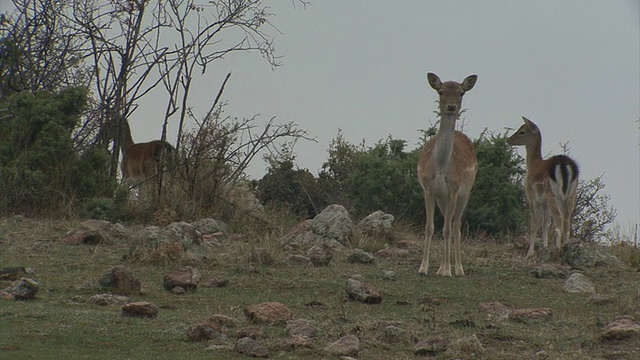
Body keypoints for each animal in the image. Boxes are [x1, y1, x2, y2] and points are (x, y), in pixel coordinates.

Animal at [418, 72, 478, 276]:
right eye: (441, 91)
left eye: (461, 92)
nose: (451, 107)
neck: (441, 167)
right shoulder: (428, 189)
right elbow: (430, 227)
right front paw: (424, 268)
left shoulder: (454, 189)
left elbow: (447, 230)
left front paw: (447, 270)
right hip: (442, 199)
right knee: (448, 222)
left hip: (465, 194)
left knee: (456, 225)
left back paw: (458, 269)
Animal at [510, 116, 580, 258]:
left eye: (522, 131)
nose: (508, 140)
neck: (533, 164)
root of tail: (564, 165)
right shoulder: (544, 202)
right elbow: (544, 224)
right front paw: (545, 246)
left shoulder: (532, 196)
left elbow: (535, 222)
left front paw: (530, 252)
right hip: (571, 195)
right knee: (567, 222)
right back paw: (567, 247)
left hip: (552, 194)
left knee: (559, 221)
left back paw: (558, 249)